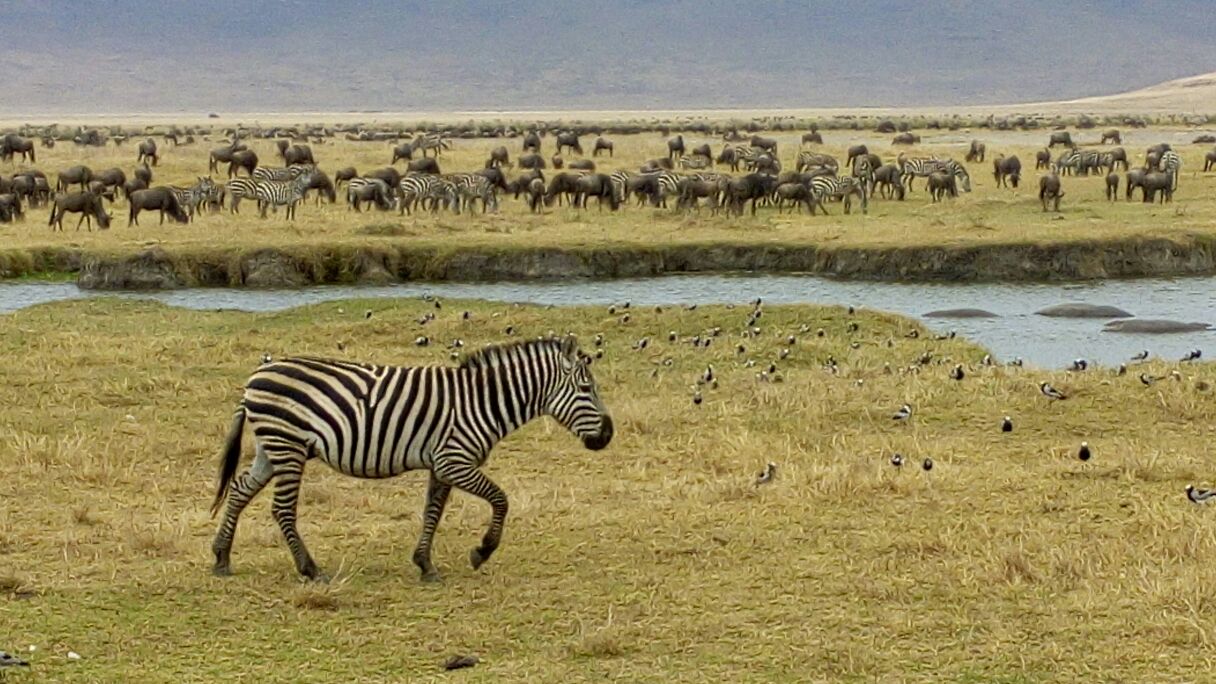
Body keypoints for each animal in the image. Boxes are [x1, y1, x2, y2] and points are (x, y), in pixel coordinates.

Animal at [208, 336, 614, 582]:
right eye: (586, 388)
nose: (608, 435)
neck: (482, 402)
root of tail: (256, 376)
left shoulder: (441, 464)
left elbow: (432, 512)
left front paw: (425, 564)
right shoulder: (454, 459)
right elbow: (501, 499)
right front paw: (482, 551)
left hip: (272, 447)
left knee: (240, 490)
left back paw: (221, 557)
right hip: (287, 445)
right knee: (281, 509)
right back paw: (310, 569)